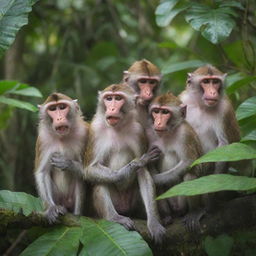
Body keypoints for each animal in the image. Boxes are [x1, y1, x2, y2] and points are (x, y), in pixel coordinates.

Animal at [34, 93, 89, 223]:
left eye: (62, 107)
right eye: (53, 109)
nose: (59, 118)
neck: (62, 137)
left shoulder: (85, 133)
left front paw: (67, 163)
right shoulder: (43, 139)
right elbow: (42, 172)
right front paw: (51, 208)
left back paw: (77, 214)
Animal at [50, 85, 165, 243]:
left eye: (118, 98)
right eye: (109, 98)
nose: (111, 108)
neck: (118, 127)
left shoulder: (138, 132)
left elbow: (144, 173)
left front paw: (154, 222)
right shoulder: (96, 131)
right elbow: (90, 170)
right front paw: (132, 167)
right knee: (100, 180)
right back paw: (114, 217)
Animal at [146, 91, 208, 228]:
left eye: (165, 112)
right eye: (156, 111)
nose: (158, 122)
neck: (168, 132)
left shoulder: (185, 134)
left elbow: (188, 162)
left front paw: (156, 179)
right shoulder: (149, 134)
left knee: (190, 175)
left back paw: (194, 212)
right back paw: (166, 217)